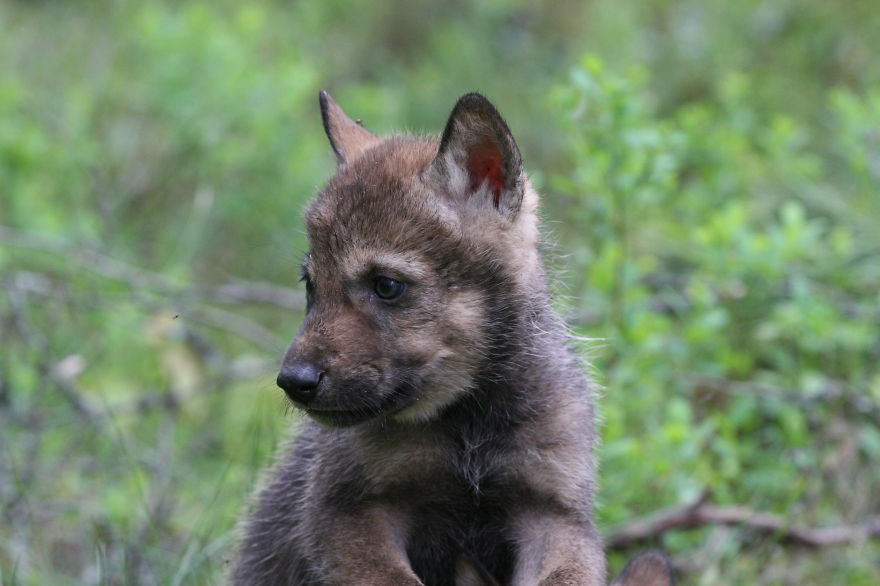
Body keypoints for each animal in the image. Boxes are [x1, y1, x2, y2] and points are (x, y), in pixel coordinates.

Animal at [231, 91, 673, 586]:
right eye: (311, 286)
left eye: (386, 286)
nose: (293, 381)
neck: (469, 429)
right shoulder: (348, 511)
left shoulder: (553, 511)